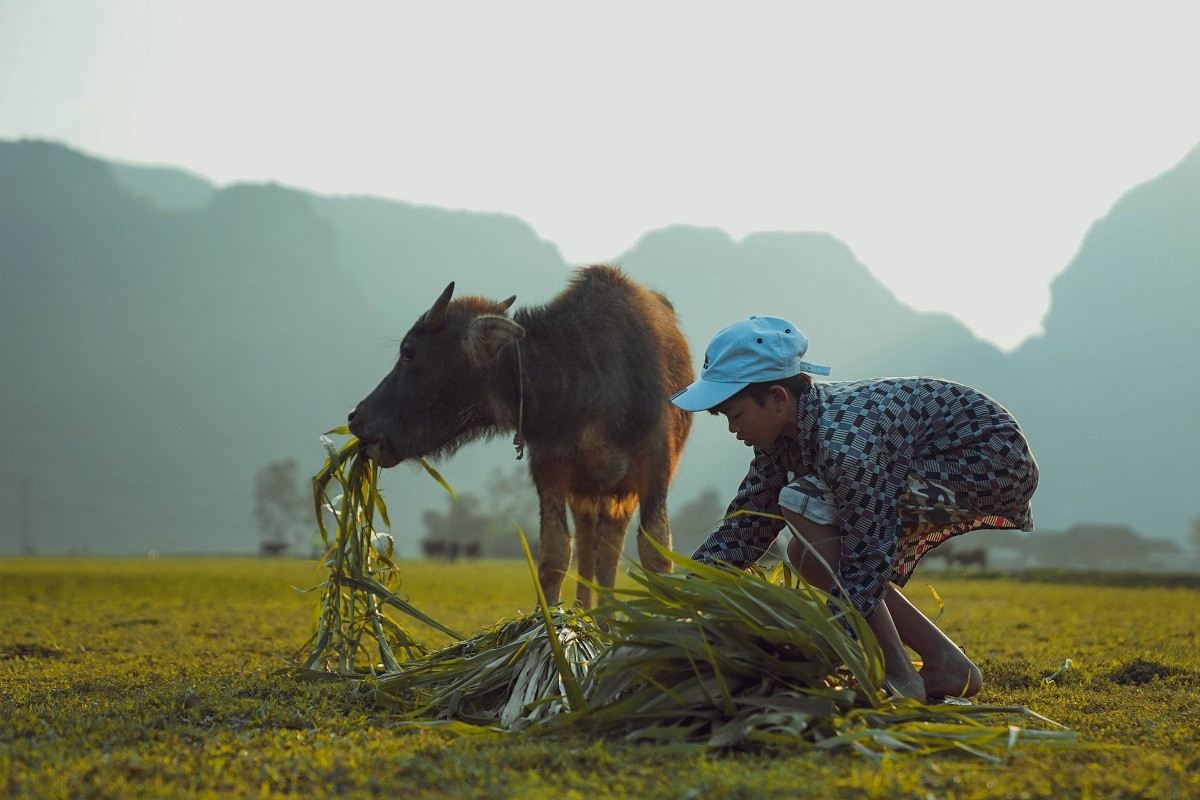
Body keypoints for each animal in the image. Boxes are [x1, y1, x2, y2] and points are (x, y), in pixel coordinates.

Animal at [348, 263, 696, 606]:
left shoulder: (655, 467)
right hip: (590, 494)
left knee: (609, 551)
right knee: (590, 549)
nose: (355, 418)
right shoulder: (550, 468)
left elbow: (656, 557)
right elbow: (555, 556)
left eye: (408, 351)